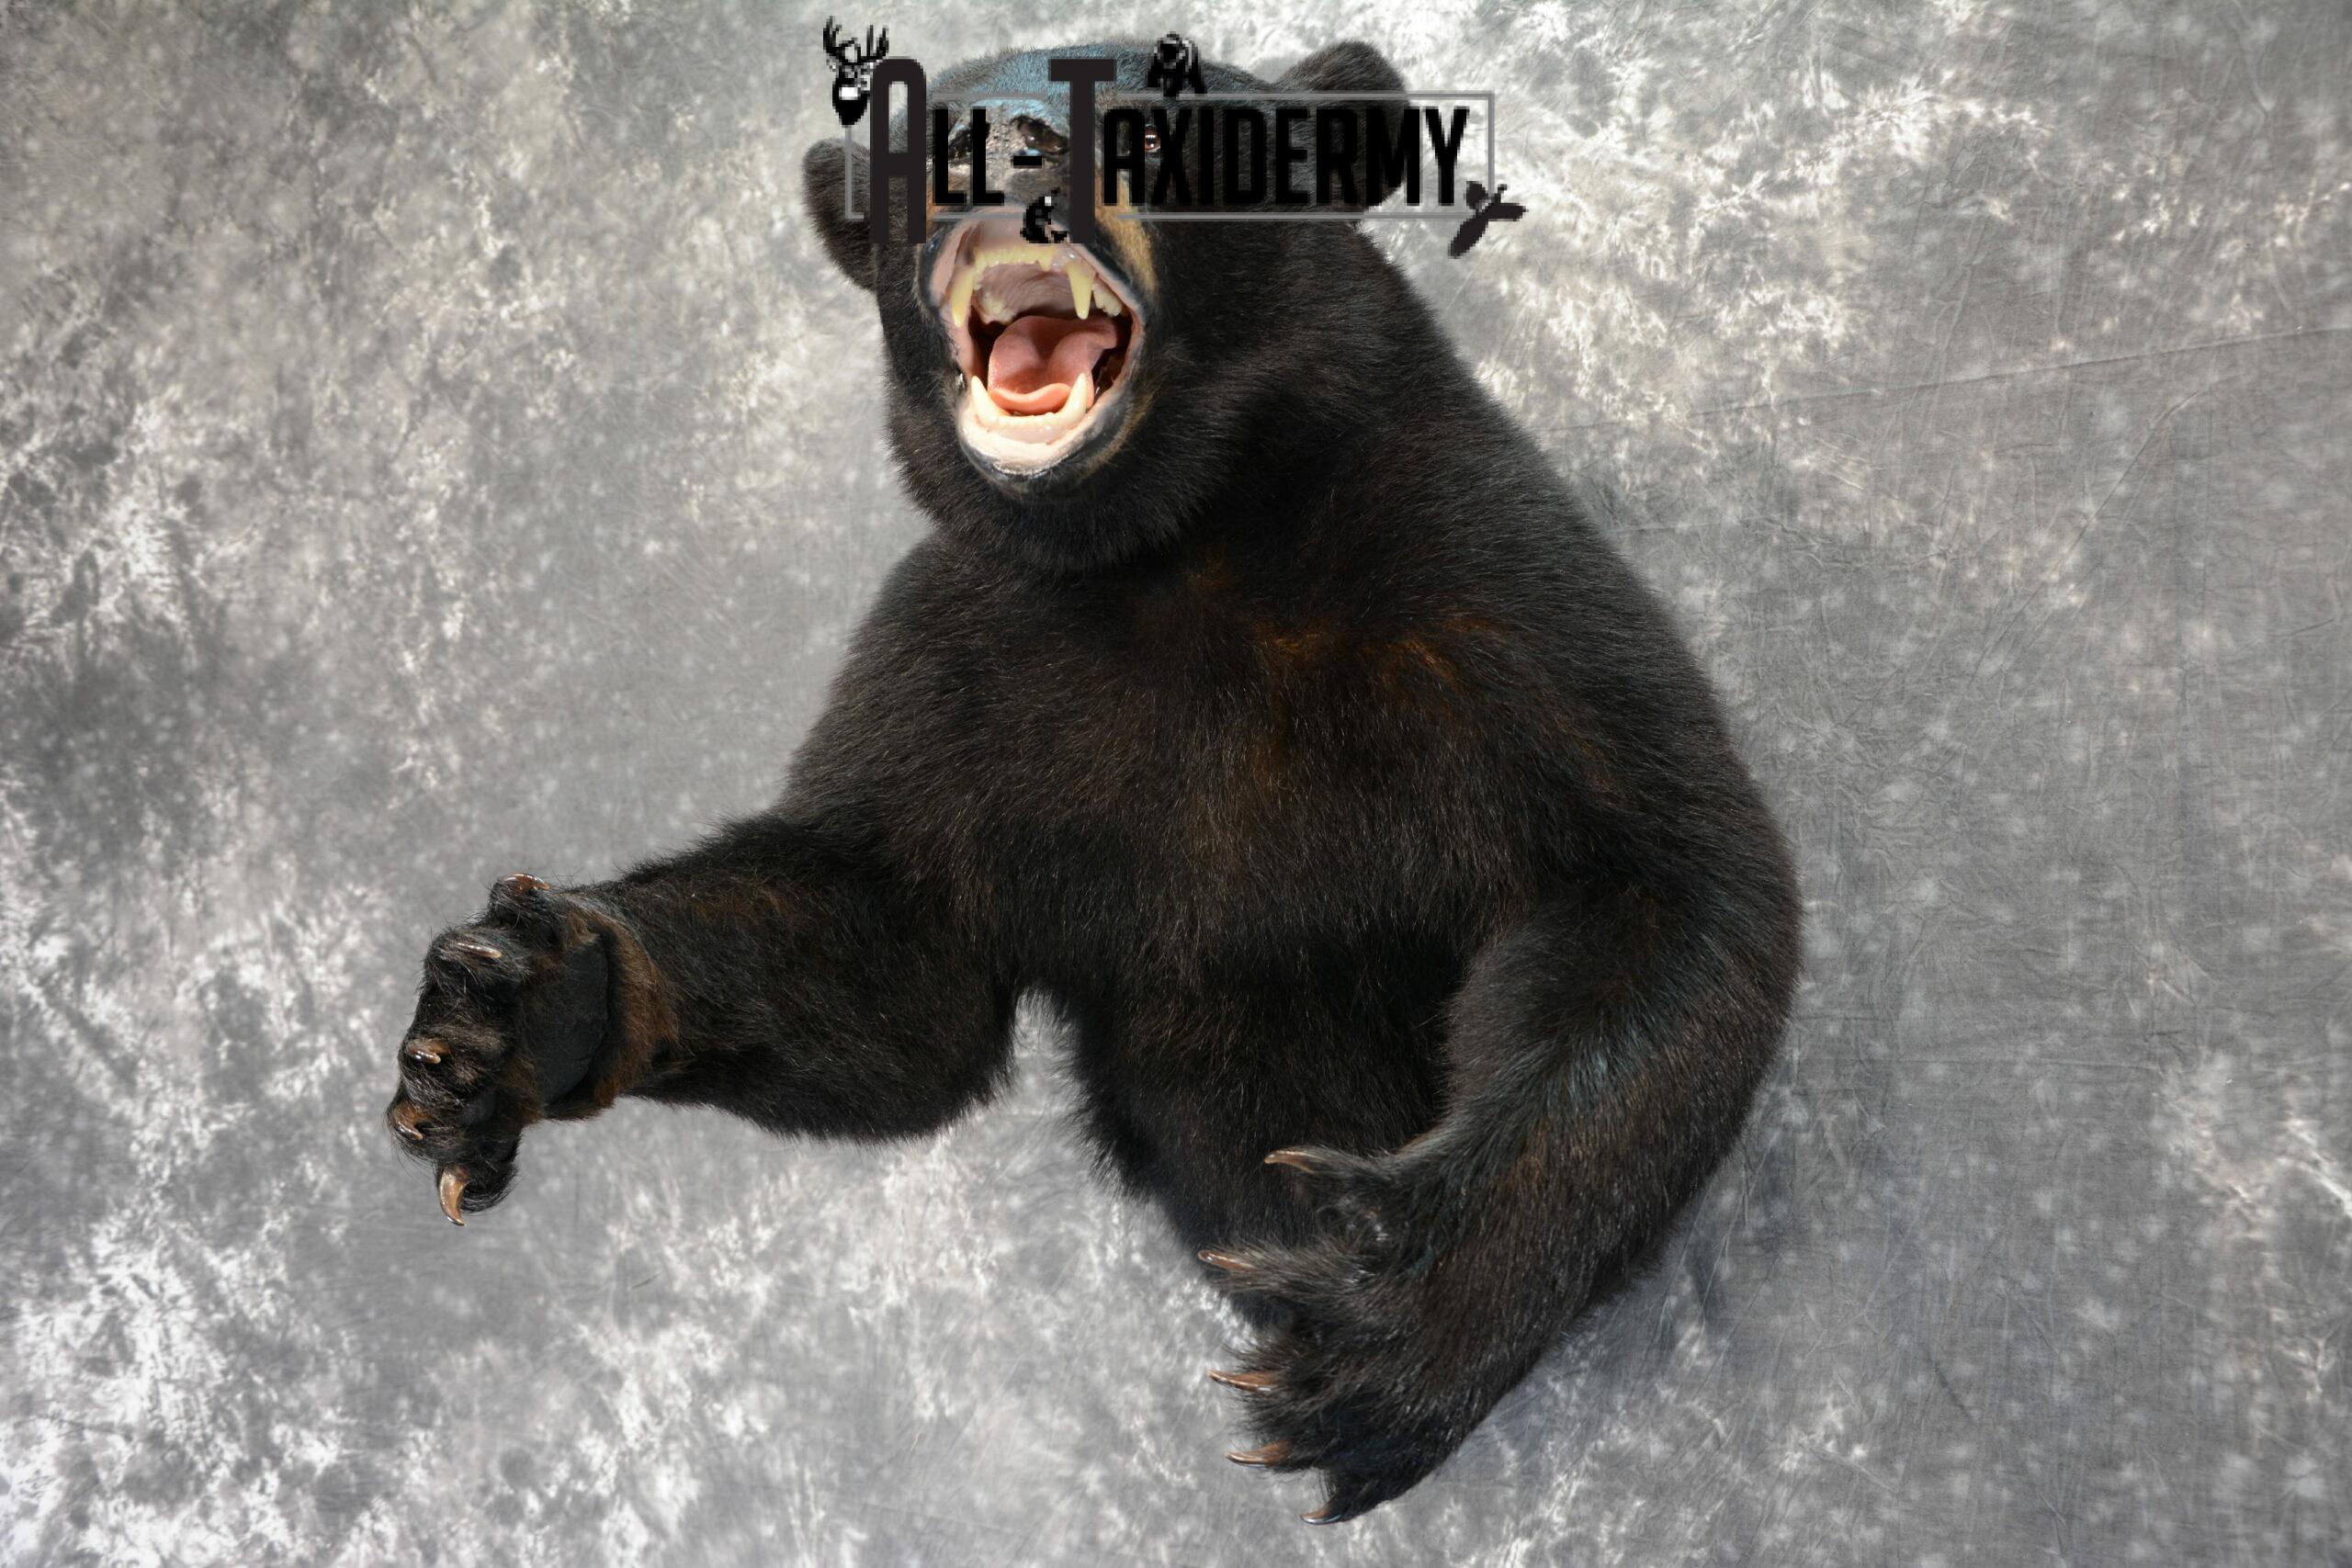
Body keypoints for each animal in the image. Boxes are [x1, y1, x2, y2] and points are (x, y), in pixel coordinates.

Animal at [384, 39, 1801, 1524]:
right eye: (916, 141)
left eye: (1147, 117)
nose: (997, 156)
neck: (1178, 553)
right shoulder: (965, 674)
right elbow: (885, 949)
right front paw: (509, 1013)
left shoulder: (1488, 597)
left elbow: (1653, 883)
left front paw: (1382, 1310)